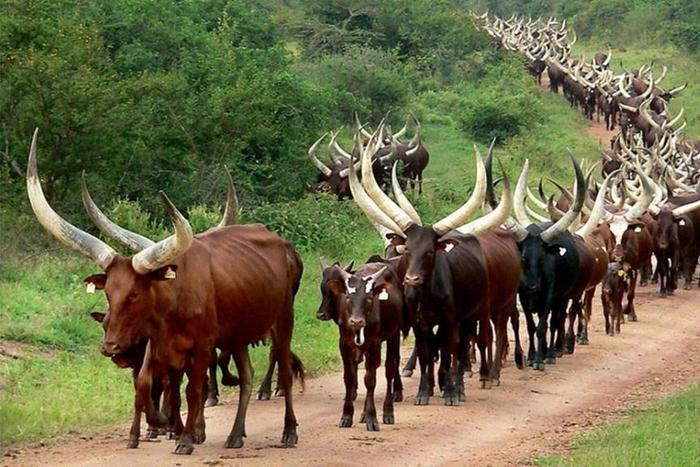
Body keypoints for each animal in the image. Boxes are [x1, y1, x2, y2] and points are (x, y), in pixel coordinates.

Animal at [26, 129, 304, 455]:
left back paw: (289, 432)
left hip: (282, 322)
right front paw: (168, 426)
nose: (110, 347)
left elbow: (193, 389)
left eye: (134, 294)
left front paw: (185, 439)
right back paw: (235, 435)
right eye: (107, 293)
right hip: (238, 335)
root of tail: (282, 244)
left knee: (283, 370)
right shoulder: (165, 348)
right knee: (246, 376)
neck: (173, 303)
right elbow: (162, 389)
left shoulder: (202, 346)